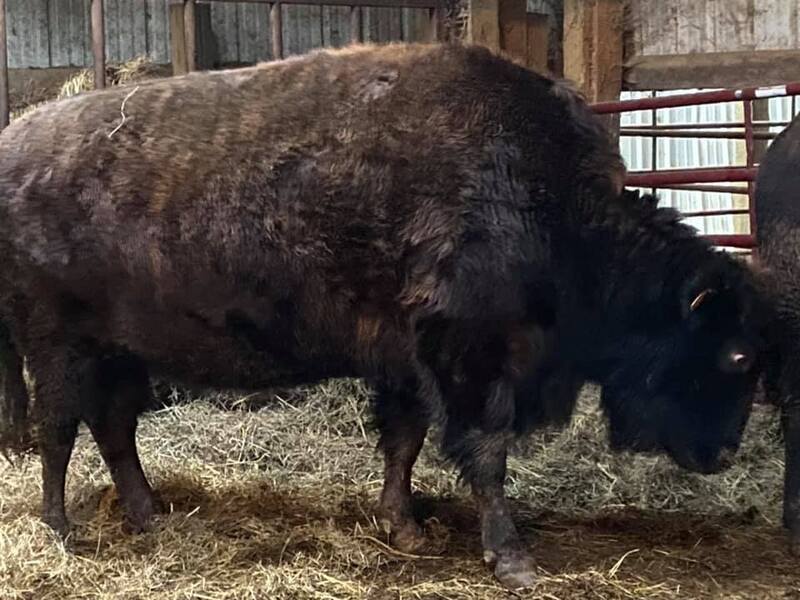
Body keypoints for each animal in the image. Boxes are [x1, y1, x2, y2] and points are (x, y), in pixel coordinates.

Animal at [0, 42, 765, 588]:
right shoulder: (472, 359)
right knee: (59, 430)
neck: (549, 205)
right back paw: (61, 528)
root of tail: (15, 149)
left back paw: (150, 515)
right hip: (58, 344)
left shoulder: (407, 361)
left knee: (114, 427)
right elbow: (484, 454)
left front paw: (406, 527)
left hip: (116, 350)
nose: (724, 453)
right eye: (735, 354)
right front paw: (511, 559)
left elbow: (405, 442)